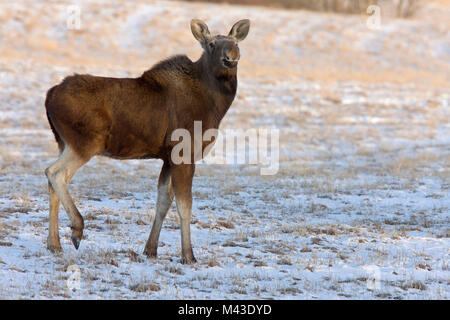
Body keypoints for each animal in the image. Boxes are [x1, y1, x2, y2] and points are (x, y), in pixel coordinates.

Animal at [43, 18, 250, 262]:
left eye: (235, 42)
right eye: (211, 44)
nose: (232, 56)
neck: (214, 106)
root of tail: (49, 95)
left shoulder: (168, 157)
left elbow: (163, 202)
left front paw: (150, 249)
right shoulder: (184, 152)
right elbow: (184, 206)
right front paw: (188, 256)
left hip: (63, 142)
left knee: (53, 181)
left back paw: (54, 244)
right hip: (85, 142)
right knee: (54, 172)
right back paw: (76, 228)